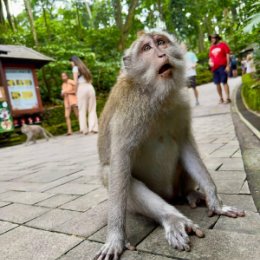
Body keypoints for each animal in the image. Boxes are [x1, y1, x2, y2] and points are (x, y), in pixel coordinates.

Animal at [96, 31, 246, 260]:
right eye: (146, 48)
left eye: (161, 42)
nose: (161, 54)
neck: (155, 95)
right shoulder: (127, 112)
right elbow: (120, 163)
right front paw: (115, 237)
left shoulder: (180, 105)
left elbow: (185, 144)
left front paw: (215, 199)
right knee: (109, 172)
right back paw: (173, 218)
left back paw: (191, 194)